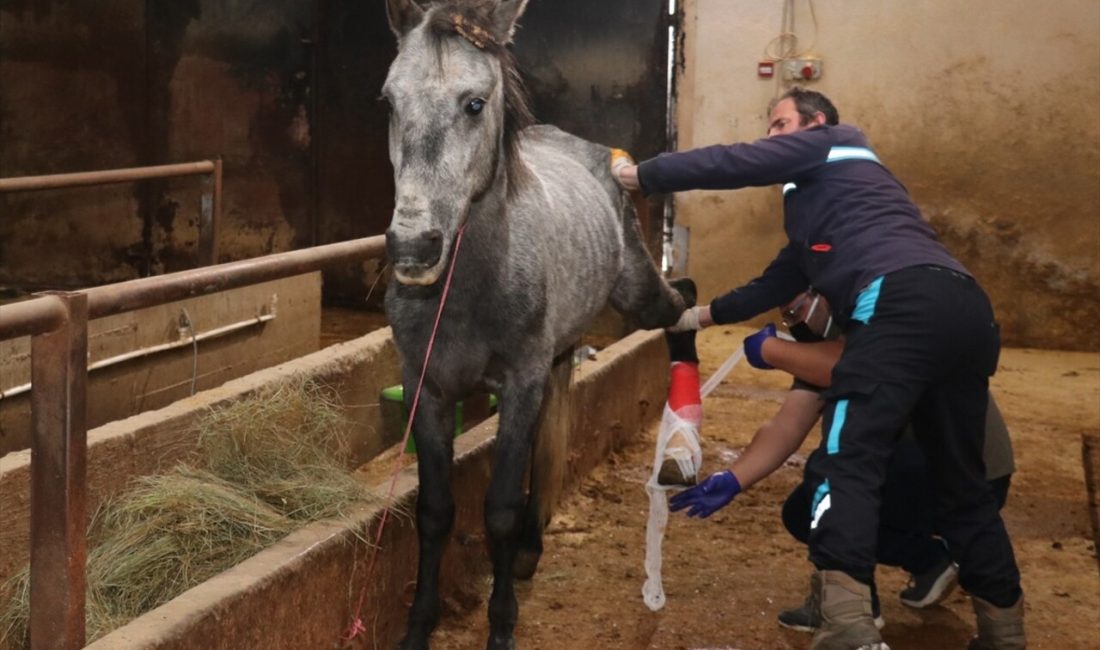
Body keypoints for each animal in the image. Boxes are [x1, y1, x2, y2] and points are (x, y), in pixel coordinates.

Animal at [382, 2, 682, 646]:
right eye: (389, 101)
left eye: (475, 103)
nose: (414, 247)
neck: (469, 289)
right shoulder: (428, 388)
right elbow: (435, 512)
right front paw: (420, 624)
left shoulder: (521, 384)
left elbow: (498, 509)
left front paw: (501, 625)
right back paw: (530, 549)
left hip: (642, 294)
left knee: (683, 304)